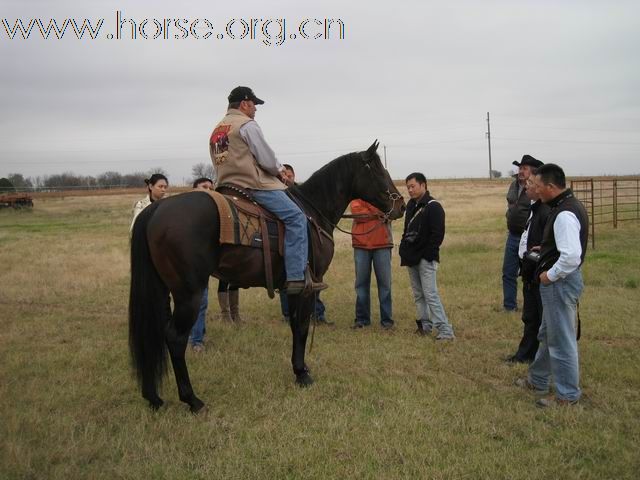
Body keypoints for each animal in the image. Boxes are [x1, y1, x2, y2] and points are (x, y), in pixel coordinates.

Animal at [129, 140, 404, 412]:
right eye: (378, 170)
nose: (400, 204)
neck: (313, 211)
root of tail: (156, 209)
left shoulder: (292, 288)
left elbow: (295, 325)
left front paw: (299, 368)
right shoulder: (308, 286)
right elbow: (302, 326)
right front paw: (302, 374)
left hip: (162, 290)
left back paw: (153, 396)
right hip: (190, 294)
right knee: (175, 338)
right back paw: (192, 400)